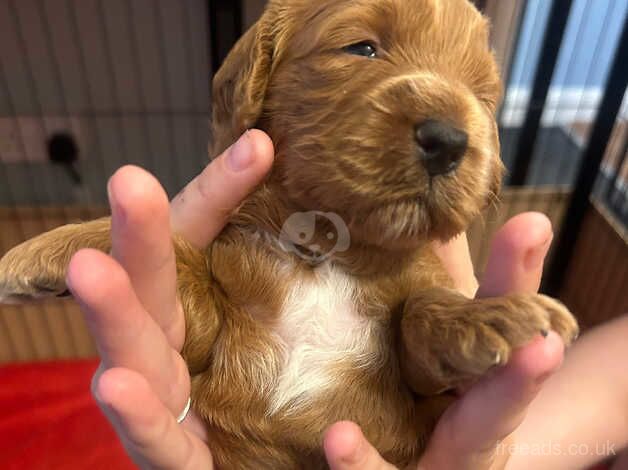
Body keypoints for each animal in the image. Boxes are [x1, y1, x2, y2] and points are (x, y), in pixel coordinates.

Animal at [0, 0, 580, 466]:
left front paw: (491, 315)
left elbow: (420, 310)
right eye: (362, 48)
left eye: (483, 97)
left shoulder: (420, 396)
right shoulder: (216, 336)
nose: (450, 140)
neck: (325, 250)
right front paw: (44, 249)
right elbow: (180, 260)